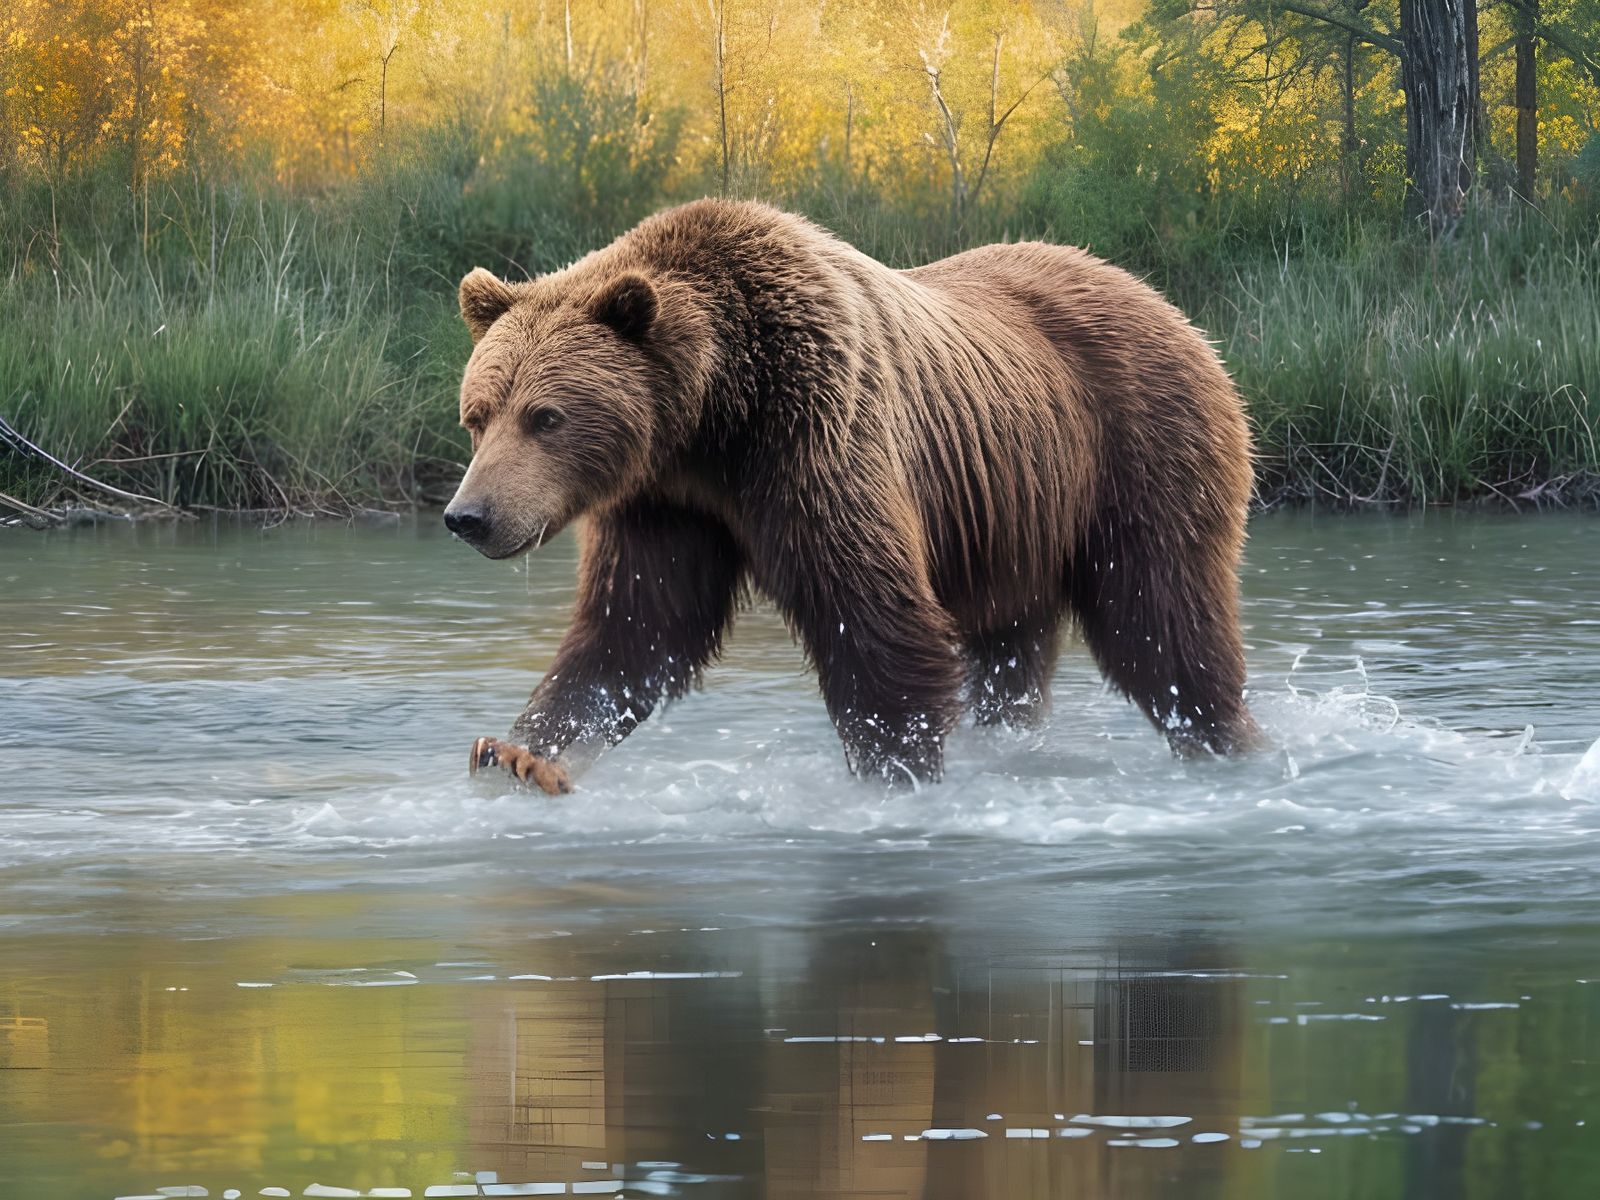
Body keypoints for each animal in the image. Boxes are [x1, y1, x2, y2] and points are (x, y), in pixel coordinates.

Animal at [444, 199, 1259, 793]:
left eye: (546, 416)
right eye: (477, 415)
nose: (468, 517)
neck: (713, 419)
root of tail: (1169, 307)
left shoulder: (815, 438)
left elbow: (873, 619)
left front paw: (896, 773)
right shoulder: (666, 504)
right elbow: (636, 630)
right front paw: (522, 756)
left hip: (1139, 448)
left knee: (1161, 619)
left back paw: (1226, 740)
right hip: (1013, 516)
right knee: (1013, 646)